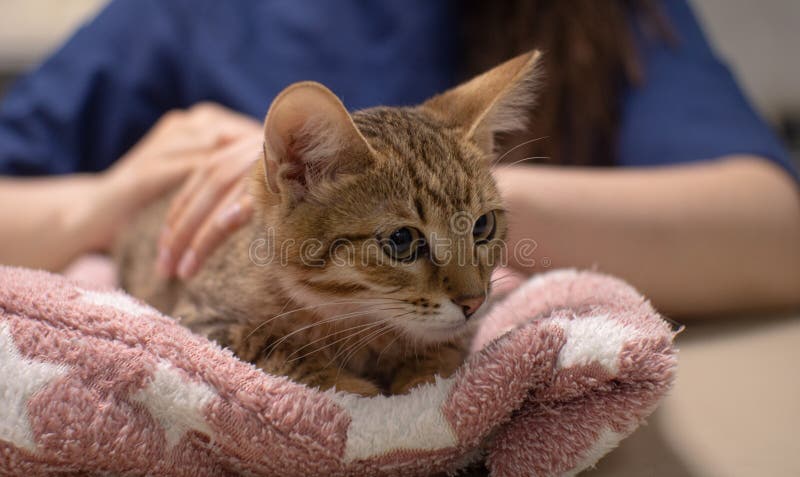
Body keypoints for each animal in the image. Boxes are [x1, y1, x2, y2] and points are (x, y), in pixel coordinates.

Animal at [117, 51, 544, 394]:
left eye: (483, 227)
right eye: (402, 240)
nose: (474, 302)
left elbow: (443, 353)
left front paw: (422, 378)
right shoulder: (202, 319)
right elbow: (274, 343)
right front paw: (355, 387)